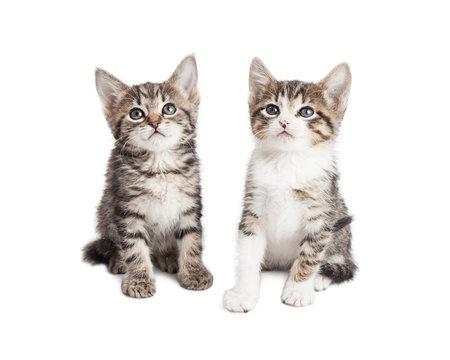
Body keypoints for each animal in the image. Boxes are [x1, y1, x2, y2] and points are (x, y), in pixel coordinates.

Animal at [82, 54, 213, 296]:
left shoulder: (189, 203)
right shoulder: (127, 209)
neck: (159, 165)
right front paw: (139, 279)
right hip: (105, 212)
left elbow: (192, 240)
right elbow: (134, 248)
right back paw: (118, 261)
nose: (154, 122)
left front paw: (194, 271)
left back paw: (168, 256)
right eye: (136, 114)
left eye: (169, 109)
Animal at [223, 57, 356, 310]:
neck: (286, 161)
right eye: (272, 109)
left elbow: (310, 253)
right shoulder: (253, 207)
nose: (284, 122)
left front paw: (298, 289)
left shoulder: (322, 210)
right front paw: (244, 292)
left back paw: (320, 278)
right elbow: (247, 254)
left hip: (341, 224)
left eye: (306, 112)